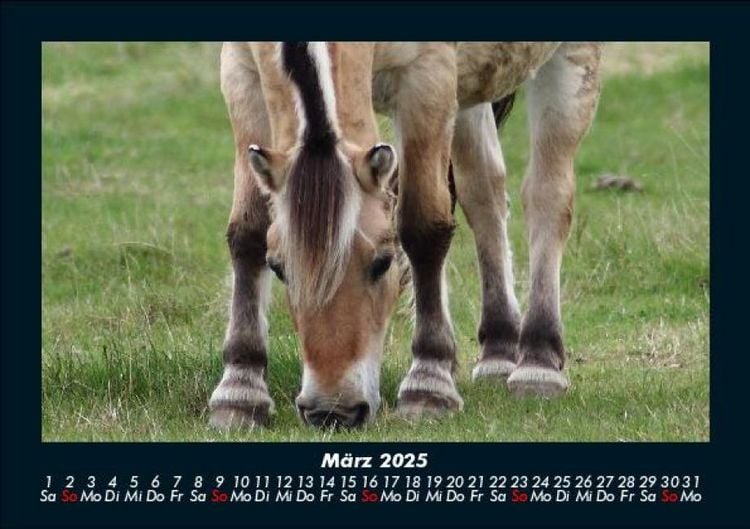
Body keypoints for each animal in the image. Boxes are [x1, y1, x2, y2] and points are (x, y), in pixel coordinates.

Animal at [208, 42, 601, 429]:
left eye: (383, 263)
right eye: (278, 268)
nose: (333, 411)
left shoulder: (429, 77)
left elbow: (422, 229)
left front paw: (429, 384)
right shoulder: (240, 73)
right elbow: (248, 233)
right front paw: (240, 391)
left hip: (570, 63)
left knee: (546, 198)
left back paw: (538, 363)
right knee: (484, 191)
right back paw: (498, 351)